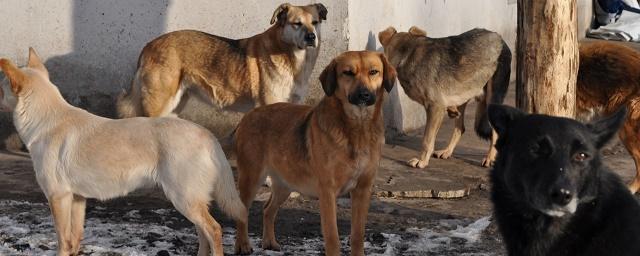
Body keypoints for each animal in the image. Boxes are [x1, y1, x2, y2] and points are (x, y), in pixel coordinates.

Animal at [0, 48, 246, 256]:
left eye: (0, 88)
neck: (47, 120)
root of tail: (207, 134)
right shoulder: (77, 198)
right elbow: (75, 239)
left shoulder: (58, 196)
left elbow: (63, 241)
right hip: (190, 200)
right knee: (203, 233)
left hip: (184, 198)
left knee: (214, 230)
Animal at [119, 2, 328, 117]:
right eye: (296, 24)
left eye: (315, 22)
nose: (311, 37)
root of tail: (148, 46)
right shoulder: (270, 106)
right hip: (159, 104)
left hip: (175, 105)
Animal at [232, 51, 398, 255]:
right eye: (347, 73)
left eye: (374, 72)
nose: (364, 95)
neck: (357, 128)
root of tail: (247, 116)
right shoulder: (327, 192)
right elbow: (332, 236)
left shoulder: (362, 190)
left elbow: (357, 235)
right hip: (252, 178)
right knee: (242, 211)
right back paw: (243, 245)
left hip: (285, 183)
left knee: (267, 209)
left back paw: (269, 242)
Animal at [378, 26, 512, 169]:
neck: (407, 53)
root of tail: (500, 39)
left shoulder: (435, 108)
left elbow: (427, 140)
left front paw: (422, 161)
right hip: (463, 92)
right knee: (461, 128)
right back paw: (447, 150)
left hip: (492, 99)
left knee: (495, 131)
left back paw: (489, 158)